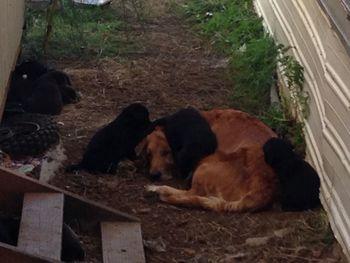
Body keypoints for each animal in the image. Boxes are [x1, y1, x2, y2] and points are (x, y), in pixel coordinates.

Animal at [144, 109, 278, 212]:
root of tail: (262, 188)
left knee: (190, 193)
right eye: (149, 154)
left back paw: (160, 189)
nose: (154, 175)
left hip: (205, 166)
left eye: (166, 152)